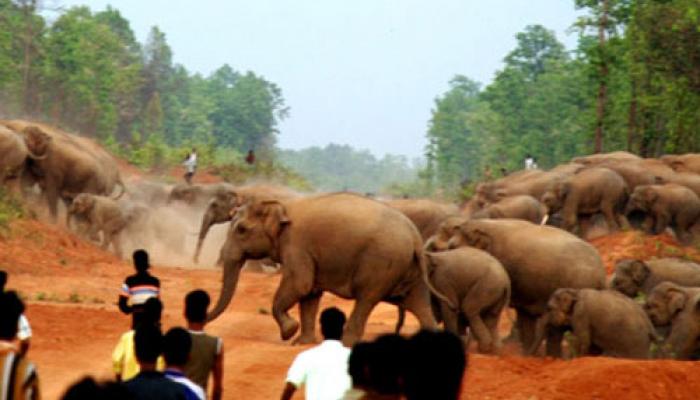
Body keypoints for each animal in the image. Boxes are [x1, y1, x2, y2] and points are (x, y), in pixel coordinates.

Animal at [208, 193, 448, 344]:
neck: (282, 204)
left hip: (382, 265)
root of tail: (415, 238)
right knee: (419, 305)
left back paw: (346, 343)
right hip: (411, 270)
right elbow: (310, 294)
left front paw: (289, 332)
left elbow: (300, 284)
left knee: (366, 299)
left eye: (241, 229)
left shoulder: (297, 245)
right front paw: (301, 342)